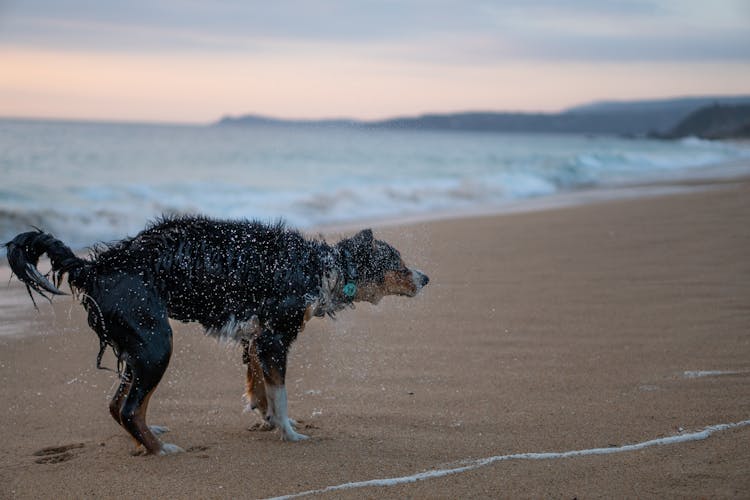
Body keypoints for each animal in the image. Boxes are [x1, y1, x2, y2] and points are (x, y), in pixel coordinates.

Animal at [4, 215, 428, 454]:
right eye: (398, 263)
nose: (426, 278)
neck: (324, 267)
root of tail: (94, 266)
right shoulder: (275, 338)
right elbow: (281, 393)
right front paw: (289, 432)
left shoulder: (256, 337)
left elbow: (259, 383)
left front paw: (266, 417)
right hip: (156, 342)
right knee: (127, 408)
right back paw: (160, 448)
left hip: (139, 347)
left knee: (117, 405)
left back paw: (148, 437)